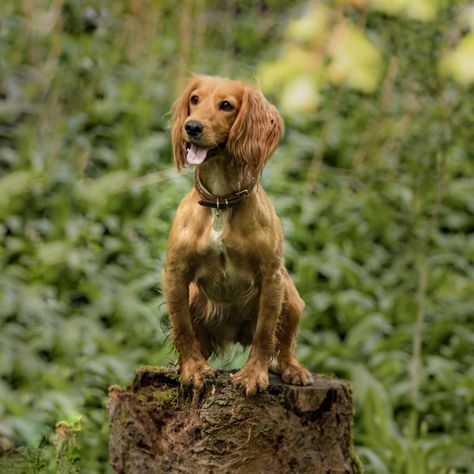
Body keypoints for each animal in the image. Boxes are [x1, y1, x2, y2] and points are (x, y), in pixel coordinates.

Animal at [163, 75, 312, 396]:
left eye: (226, 105)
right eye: (194, 99)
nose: (192, 127)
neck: (221, 202)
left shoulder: (272, 277)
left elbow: (265, 334)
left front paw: (253, 374)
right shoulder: (176, 274)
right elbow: (183, 329)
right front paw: (193, 369)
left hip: (291, 297)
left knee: (283, 347)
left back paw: (293, 369)